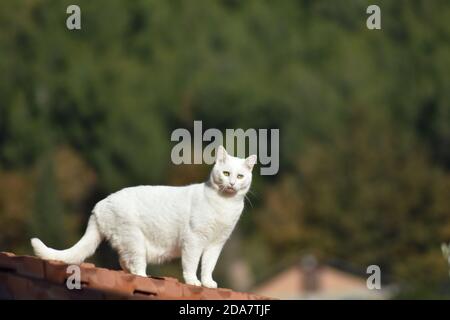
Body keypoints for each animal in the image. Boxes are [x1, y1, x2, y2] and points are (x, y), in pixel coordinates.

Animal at [30, 146, 256, 288]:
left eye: (240, 176)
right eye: (226, 173)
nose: (232, 183)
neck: (224, 205)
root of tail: (99, 205)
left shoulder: (216, 244)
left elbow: (209, 266)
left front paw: (208, 283)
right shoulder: (193, 240)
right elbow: (191, 265)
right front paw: (193, 282)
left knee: (124, 261)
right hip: (135, 241)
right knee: (135, 266)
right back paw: (144, 277)